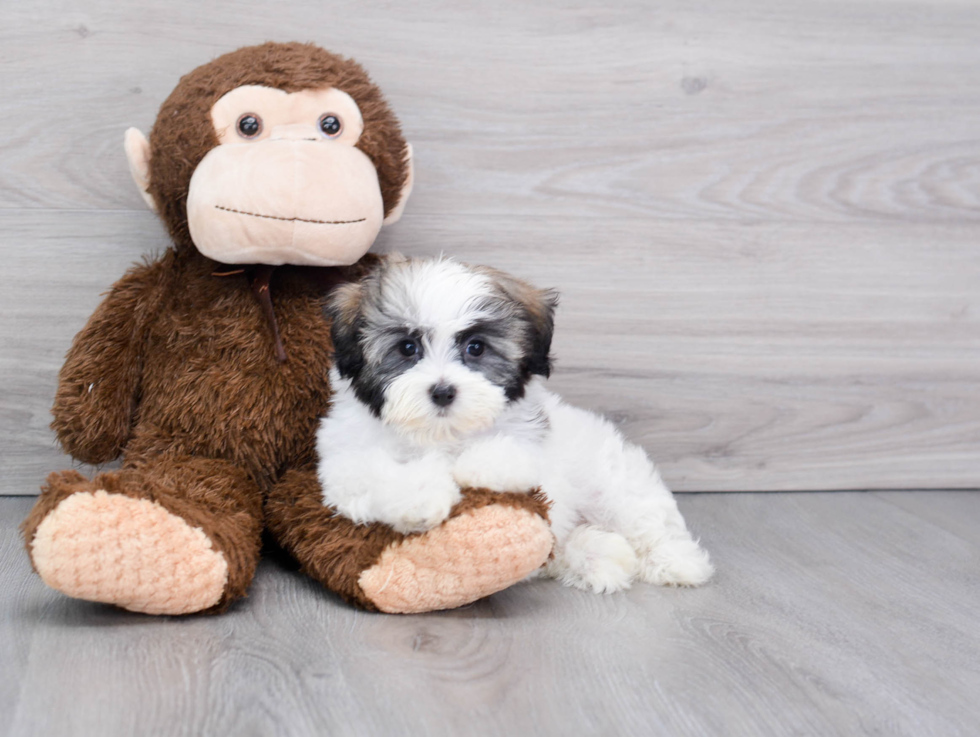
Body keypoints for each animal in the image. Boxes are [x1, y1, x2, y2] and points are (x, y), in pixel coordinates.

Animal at [318, 254, 716, 592]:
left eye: (476, 348)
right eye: (407, 348)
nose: (443, 391)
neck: (443, 434)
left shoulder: (533, 443)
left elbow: (512, 454)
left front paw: (472, 465)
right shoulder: (342, 461)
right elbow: (373, 473)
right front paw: (419, 498)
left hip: (615, 482)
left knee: (644, 518)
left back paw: (676, 562)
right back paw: (599, 558)